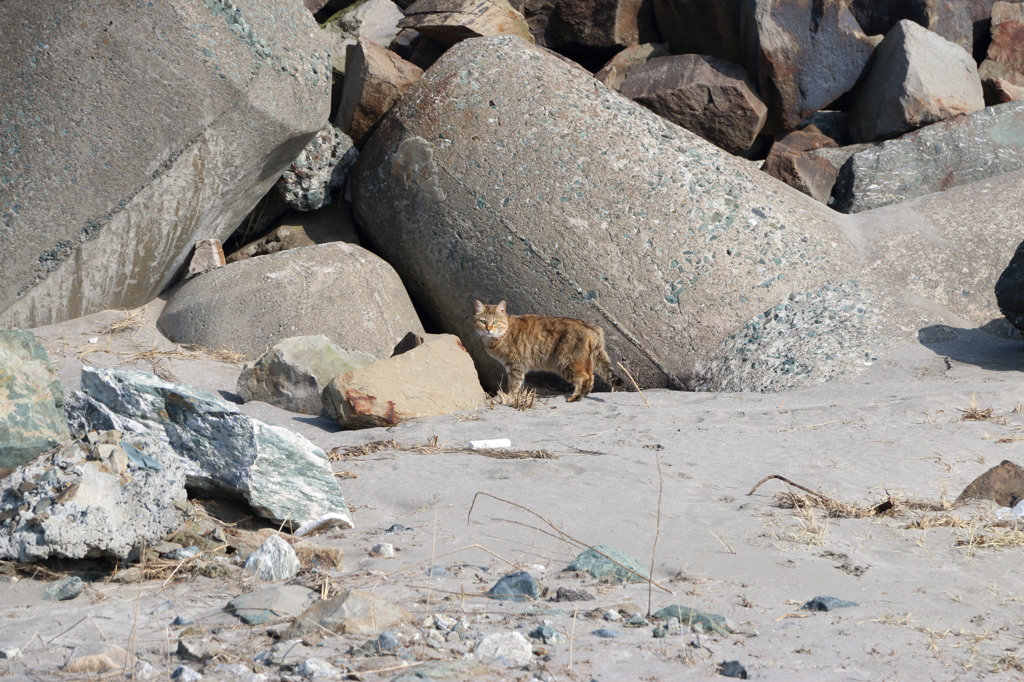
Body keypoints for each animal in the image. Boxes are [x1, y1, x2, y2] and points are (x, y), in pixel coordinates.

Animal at [471, 301, 622, 401]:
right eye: (483, 321)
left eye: (495, 322)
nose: (488, 329)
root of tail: (592, 327)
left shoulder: (516, 365)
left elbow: (514, 384)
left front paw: (509, 397)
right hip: (586, 362)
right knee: (591, 377)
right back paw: (584, 394)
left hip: (565, 363)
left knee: (583, 377)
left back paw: (575, 397)